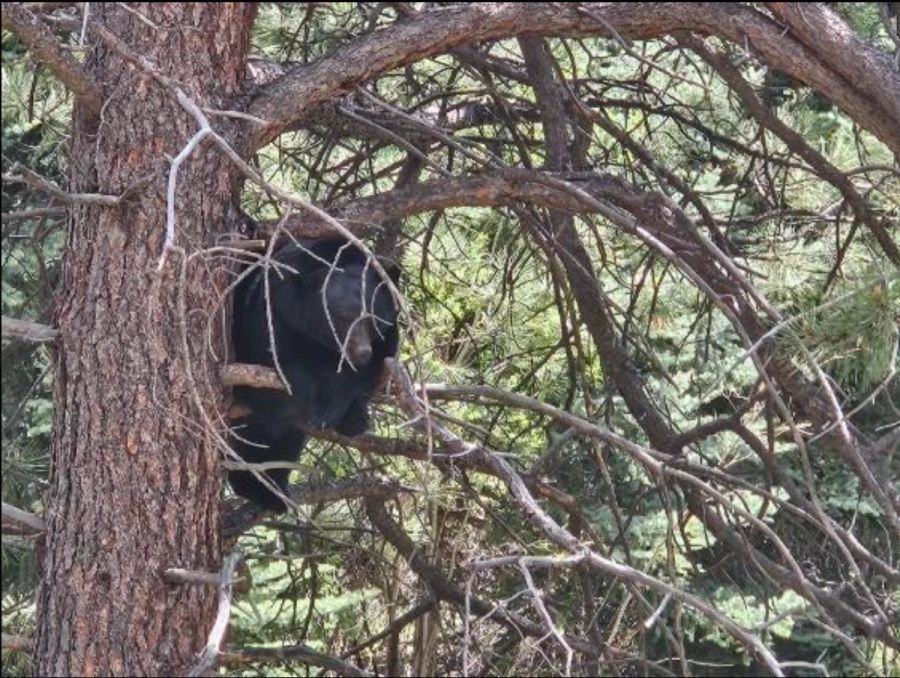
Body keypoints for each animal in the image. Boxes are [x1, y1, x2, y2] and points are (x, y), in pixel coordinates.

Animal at [230, 239, 400, 510]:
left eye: (371, 316)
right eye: (340, 317)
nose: (361, 352)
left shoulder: (386, 337)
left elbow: (366, 374)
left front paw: (345, 413)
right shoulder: (270, 311)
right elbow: (278, 364)